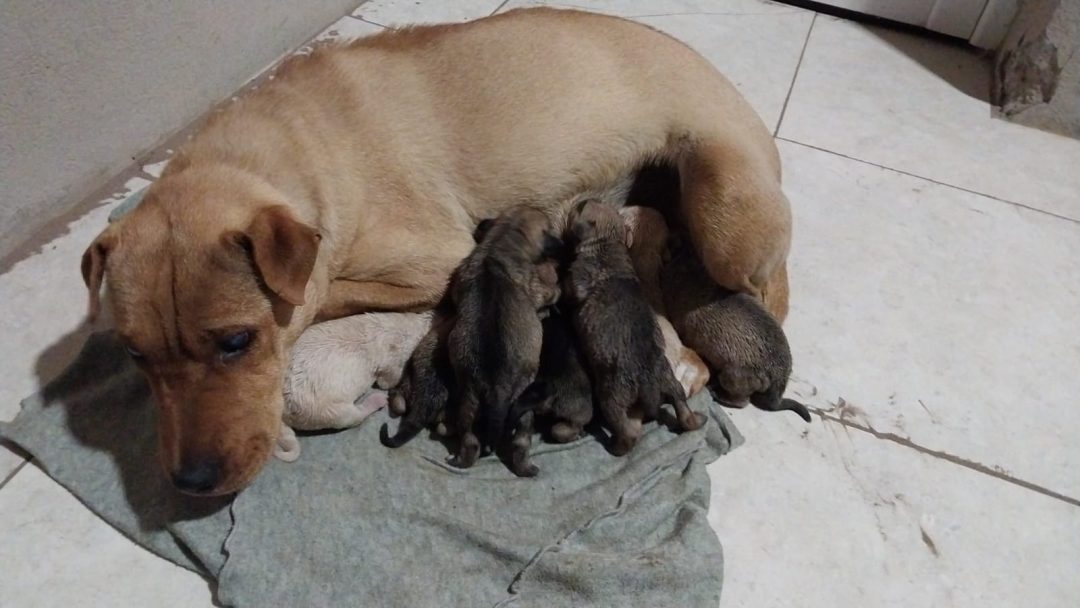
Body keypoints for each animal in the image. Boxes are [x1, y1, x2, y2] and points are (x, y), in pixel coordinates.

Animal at [449, 207, 565, 477]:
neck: (500, 242)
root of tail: (495, 390)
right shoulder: (540, 288)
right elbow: (552, 292)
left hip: (468, 402)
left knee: (469, 439)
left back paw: (461, 459)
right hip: (523, 409)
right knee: (521, 441)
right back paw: (527, 468)